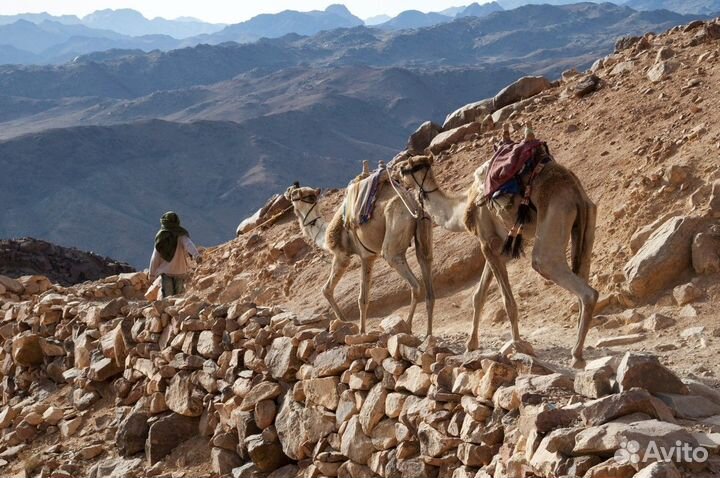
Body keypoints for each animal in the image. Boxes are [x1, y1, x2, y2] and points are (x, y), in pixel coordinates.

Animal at [286, 174, 434, 334]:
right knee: (426, 267)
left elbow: (332, 291)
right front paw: (356, 328)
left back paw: (407, 326)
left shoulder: (346, 255)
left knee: (413, 283)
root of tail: (414, 206)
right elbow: (363, 298)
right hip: (424, 229)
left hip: (395, 230)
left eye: (294, 194)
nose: (288, 190)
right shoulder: (369, 256)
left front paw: (355, 328)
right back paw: (428, 334)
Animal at [400, 129, 596, 368]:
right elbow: (478, 296)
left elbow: (507, 302)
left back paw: (576, 356)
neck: (462, 207)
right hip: (587, 220)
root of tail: (575, 192)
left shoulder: (486, 241)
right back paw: (579, 350)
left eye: (410, 167)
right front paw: (471, 345)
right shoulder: (495, 246)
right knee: (582, 272)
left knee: (560, 273)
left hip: (555, 214)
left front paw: (517, 344)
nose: (398, 171)